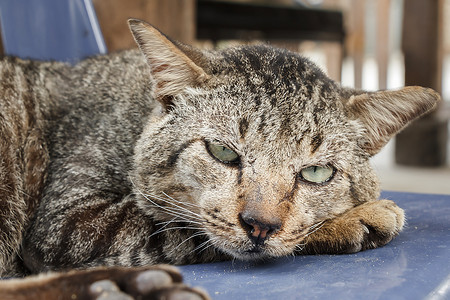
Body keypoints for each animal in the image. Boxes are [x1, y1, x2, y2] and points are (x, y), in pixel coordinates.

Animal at [0, 19, 440, 298]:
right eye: (223, 151)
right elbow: (180, 230)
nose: (261, 225)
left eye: (316, 172)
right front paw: (356, 219)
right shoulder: (69, 221)